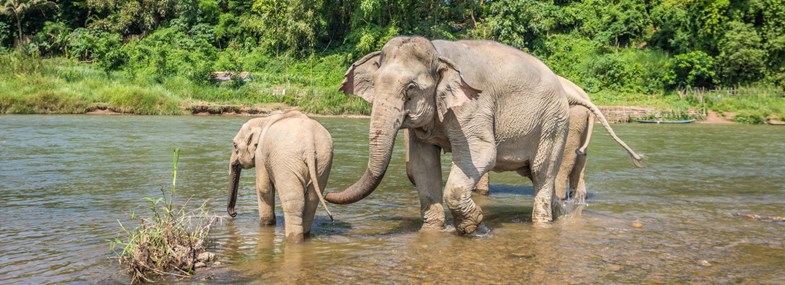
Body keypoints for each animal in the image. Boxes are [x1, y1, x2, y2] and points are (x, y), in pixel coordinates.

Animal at [225, 110, 332, 241]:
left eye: (234, 145)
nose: (234, 213)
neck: (262, 120)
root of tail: (309, 141)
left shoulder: (260, 154)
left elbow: (263, 188)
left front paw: (266, 224)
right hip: (323, 161)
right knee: (311, 201)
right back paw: (305, 236)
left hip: (287, 160)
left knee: (293, 202)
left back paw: (293, 239)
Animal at [322, 37, 640, 233]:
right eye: (374, 85)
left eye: (410, 88)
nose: (327, 193)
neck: (439, 53)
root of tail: (570, 92)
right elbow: (424, 163)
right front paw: (432, 231)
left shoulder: (473, 106)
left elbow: (480, 154)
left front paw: (473, 225)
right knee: (544, 177)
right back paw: (562, 214)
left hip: (555, 123)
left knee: (544, 172)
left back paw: (542, 224)